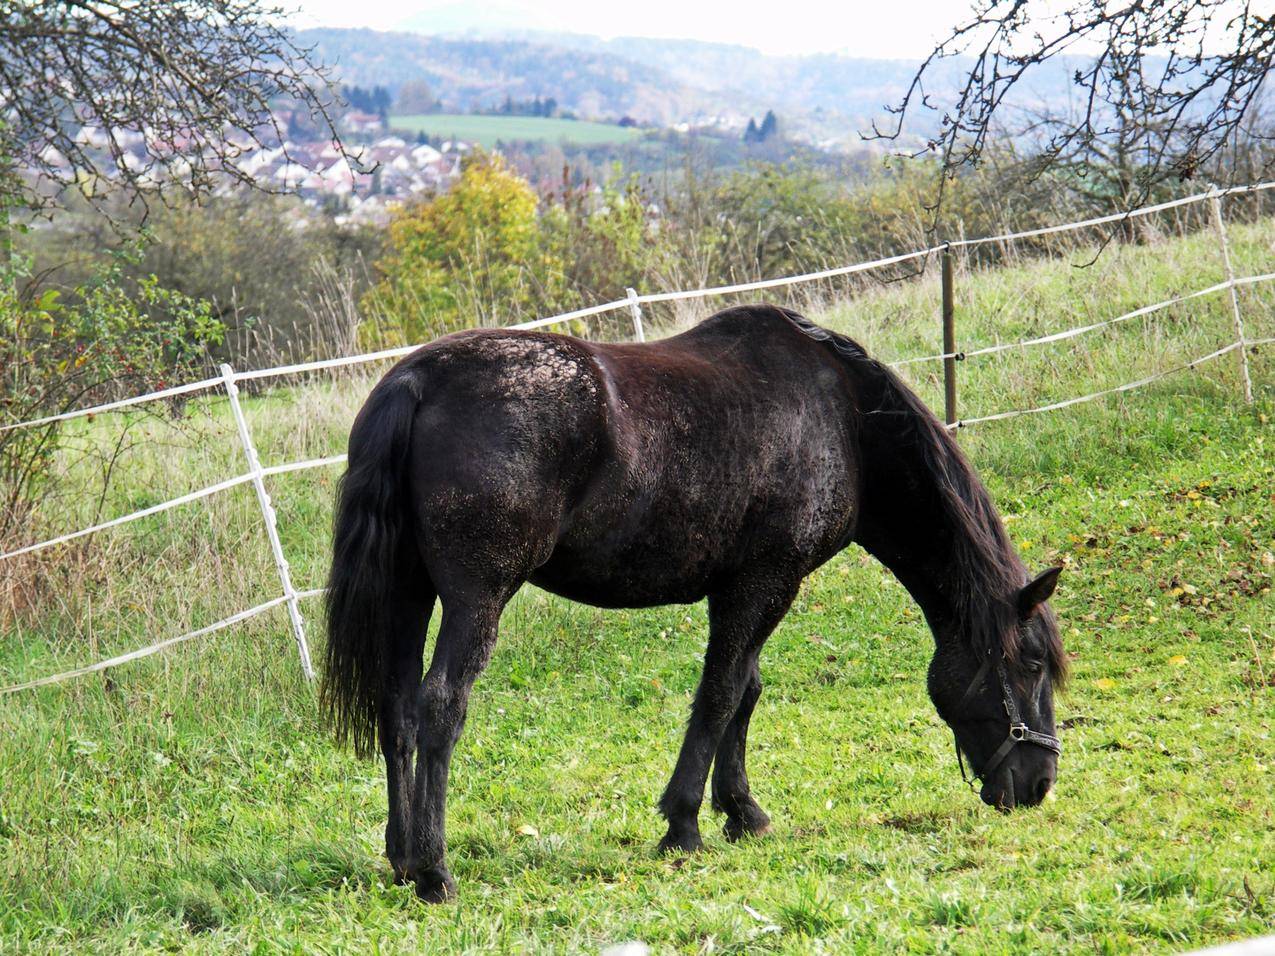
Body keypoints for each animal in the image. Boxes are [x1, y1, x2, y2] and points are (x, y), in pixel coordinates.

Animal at [321, 308, 1065, 907]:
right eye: (1030, 666)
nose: (1039, 784)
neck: (844, 421)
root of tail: (418, 381)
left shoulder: (744, 587)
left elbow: (744, 692)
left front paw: (742, 812)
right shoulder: (765, 582)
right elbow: (721, 694)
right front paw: (684, 824)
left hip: (410, 594)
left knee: (396, 711)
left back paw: (400, 858)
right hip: (477, 599)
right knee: (440, 706)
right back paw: (434, 872)